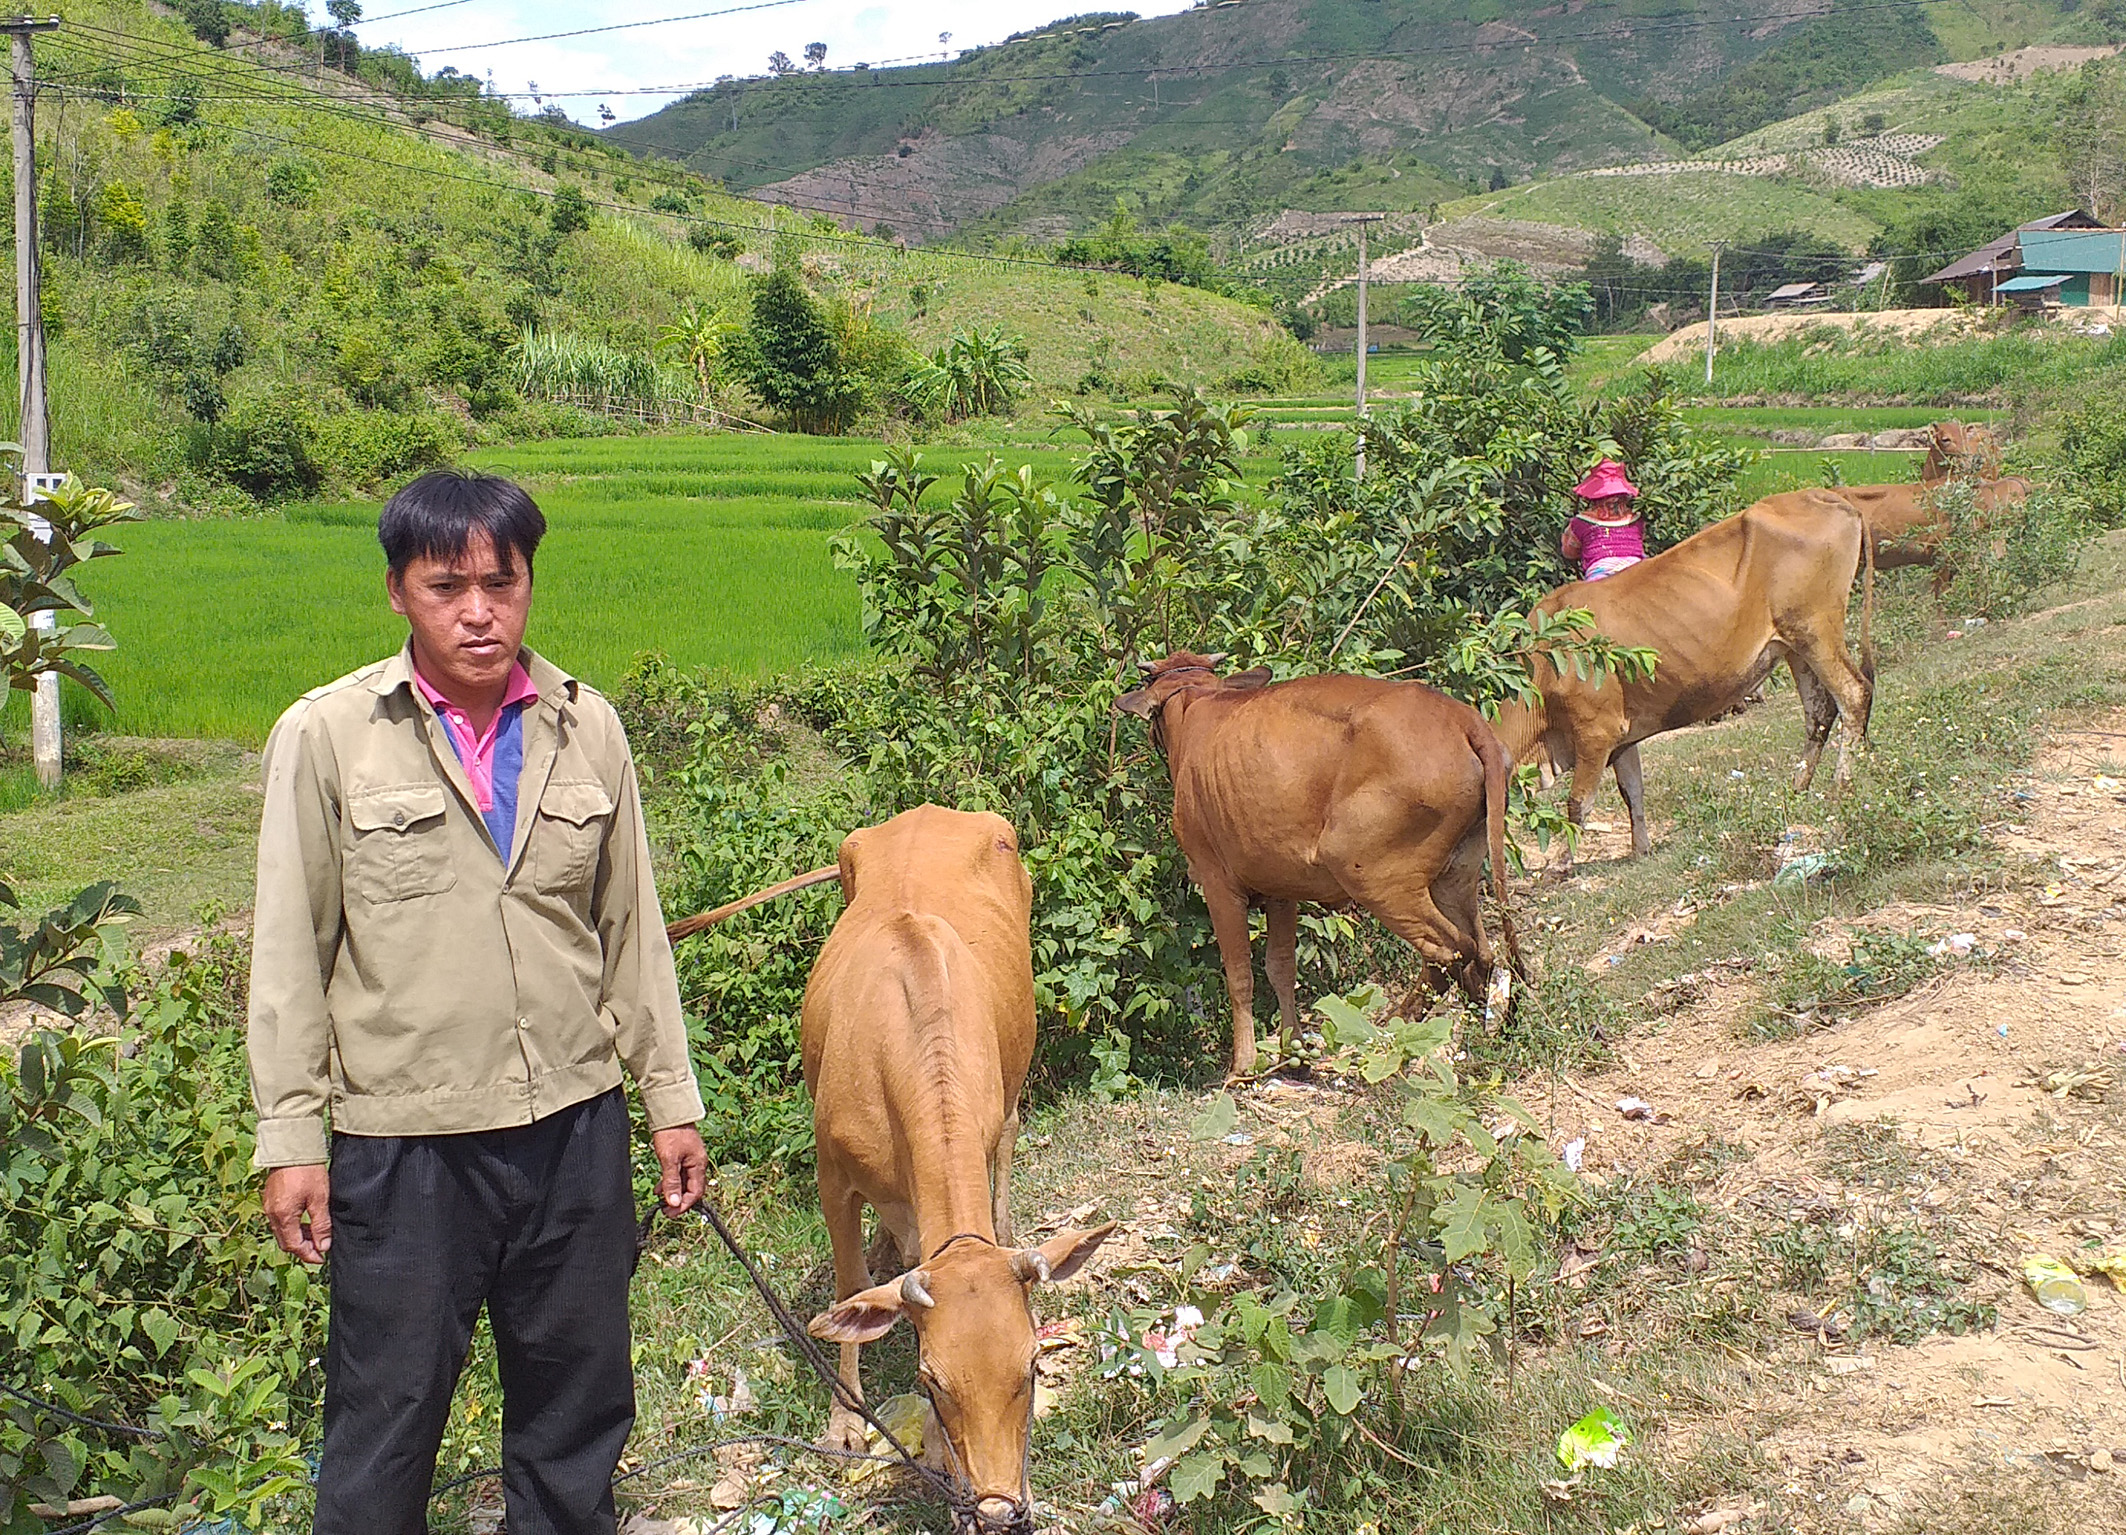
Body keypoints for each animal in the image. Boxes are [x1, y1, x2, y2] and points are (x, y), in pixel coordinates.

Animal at [799, 799, 1114, 1522]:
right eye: (930, 1380)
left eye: (1031, 1368)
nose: (1000, 1508)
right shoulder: (832, 1177)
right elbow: (850, 1290)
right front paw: (845, 1422)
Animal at [1114, 650, 1513, 1075]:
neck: (1196, 705)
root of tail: (1463, 719)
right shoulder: (1280, 890)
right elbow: (1281, 968)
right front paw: (1292, 1053)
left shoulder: (1216, 881)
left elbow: (1239, 974)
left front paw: (1243, 1065)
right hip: (1457, 873)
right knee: (1481, 950)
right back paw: (1476, 1042)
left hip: (1372, 874)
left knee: (1449, 949)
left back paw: (1390, 1031)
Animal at [1496, 491, 1879, 858]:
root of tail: (1825, 496)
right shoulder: (1622, 734)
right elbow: (1631, 791)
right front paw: (1640, 850)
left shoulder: (1596, 731)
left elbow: (1578, 803)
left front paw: (1561, 863)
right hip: (1793, 645)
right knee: (1818, 714)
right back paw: (1797, 789)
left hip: (1816, 630)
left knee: (1853, 695)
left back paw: (1838, 790)